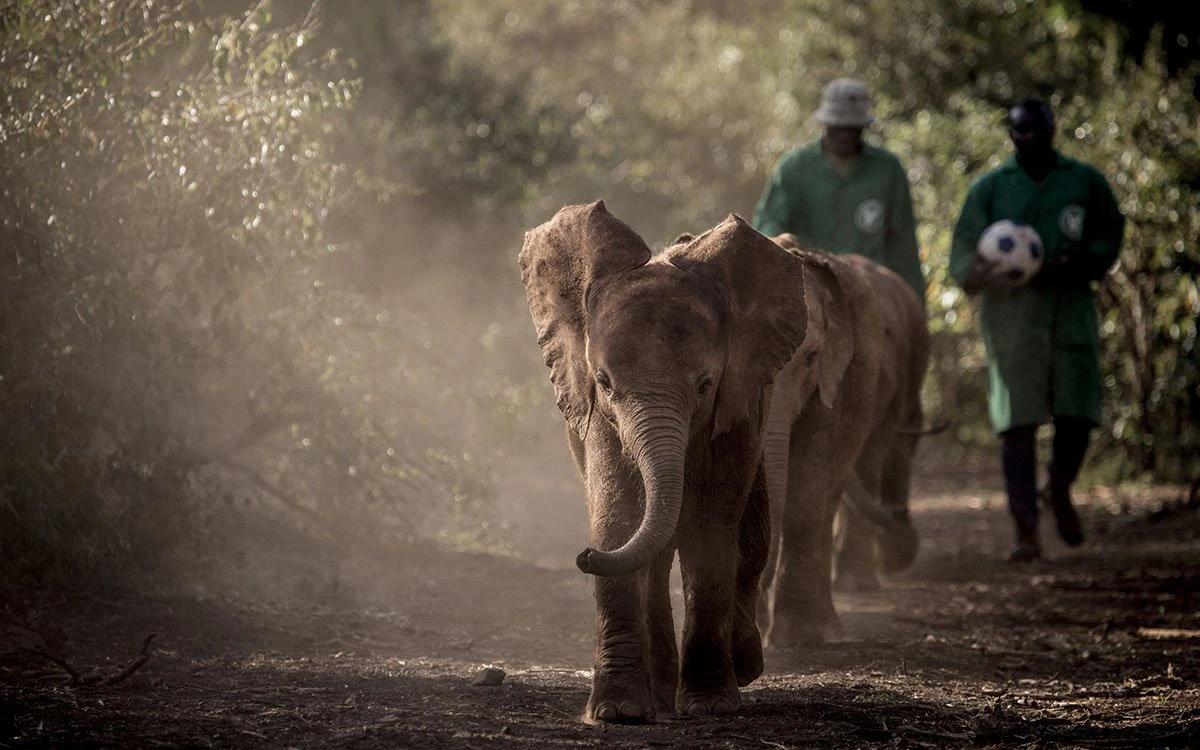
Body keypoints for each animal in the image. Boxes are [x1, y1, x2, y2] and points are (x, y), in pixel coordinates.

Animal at [519, 202, 809, 723]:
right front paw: (616, 713)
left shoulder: (737, 406)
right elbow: (617, 516)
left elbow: (713, 530)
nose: (582, 556)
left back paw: (740, 669)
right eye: (604, 382)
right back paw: (656, 696)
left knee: (751, 534)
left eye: (705, 385)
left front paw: (712, 705)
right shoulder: (598, 417)